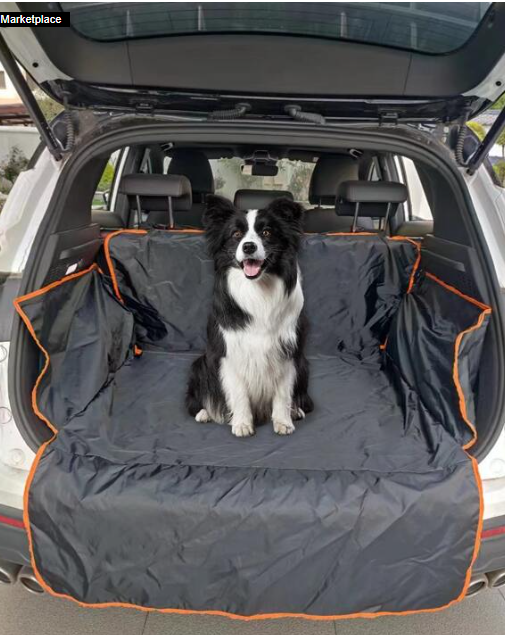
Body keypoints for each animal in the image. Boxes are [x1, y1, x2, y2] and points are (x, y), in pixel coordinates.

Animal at [185, 195, 312, 438]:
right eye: (236, 234)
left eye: (267, 232)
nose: (249, 246)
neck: (258, 290)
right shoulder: (229, 352)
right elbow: (239, 392)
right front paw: (242, 423)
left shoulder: (288, 351)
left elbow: (283, 392)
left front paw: (282, 421)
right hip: (199, 364)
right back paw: (204, 412)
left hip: (304, 364)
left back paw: (296, 410)